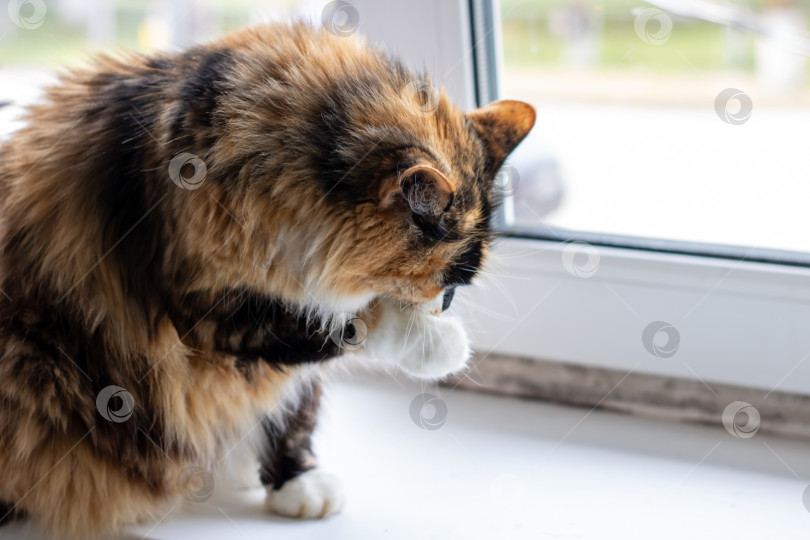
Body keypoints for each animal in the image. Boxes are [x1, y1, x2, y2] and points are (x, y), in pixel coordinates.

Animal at [0, 20, 532, 536]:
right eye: (447, 280)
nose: (446, 306)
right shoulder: (210, 309)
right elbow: (343, 328)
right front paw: (440, 343)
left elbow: (296, 406)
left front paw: (298, 483)